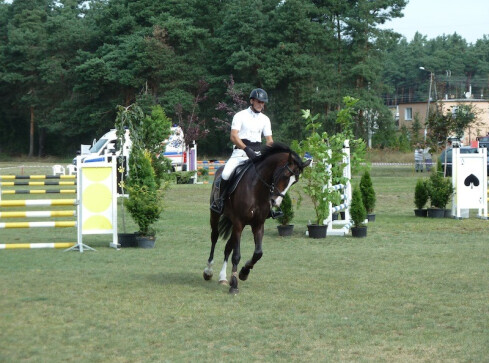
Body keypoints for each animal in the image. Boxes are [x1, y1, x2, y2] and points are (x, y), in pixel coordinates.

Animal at [204, 143, 310, 296]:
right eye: (285, 175)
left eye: (294, 182)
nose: (275, 202)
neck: (256, 188)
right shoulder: (239, 223)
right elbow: (236, 255)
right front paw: (234, 284)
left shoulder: (258, 224)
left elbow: (258, 253)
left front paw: (243, 272)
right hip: (216, 215)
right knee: (214, 237)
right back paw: (208, 271)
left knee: (228, 247)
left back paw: (223, 278)